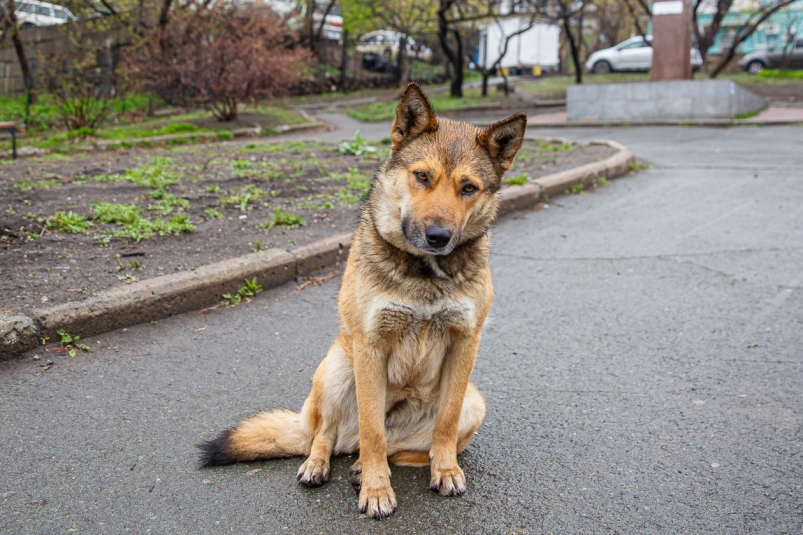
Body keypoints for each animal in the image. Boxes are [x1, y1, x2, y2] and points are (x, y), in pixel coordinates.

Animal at [199, 84, 528, 520]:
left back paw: (368, 465)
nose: (439, 236)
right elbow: (374, 430)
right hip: (338, 367)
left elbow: (443, 424)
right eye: (422, 176)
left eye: (469, 188)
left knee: (399, 446)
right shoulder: (370, 346)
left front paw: (444, 471)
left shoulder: (465, 344)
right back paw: (321, 464)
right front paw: (375, 491)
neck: (423, 273)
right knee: (328, 435)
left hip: (475, 403)